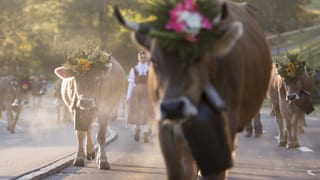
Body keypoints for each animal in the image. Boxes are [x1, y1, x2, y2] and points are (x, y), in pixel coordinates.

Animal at [114, 0, 272, 179]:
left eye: (197, 55)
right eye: (154, 60)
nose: (172, 107)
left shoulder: (225, 127)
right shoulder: (166, 129)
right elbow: (178, 171)